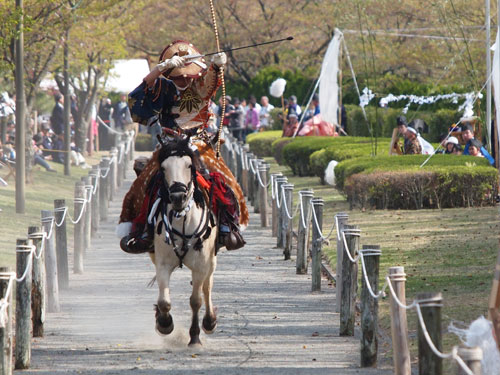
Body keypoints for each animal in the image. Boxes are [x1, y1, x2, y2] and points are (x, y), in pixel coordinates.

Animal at [152, 137, 219, 348]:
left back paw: (209, 321)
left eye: (189, 165)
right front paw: (164, 323)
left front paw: (195, 336)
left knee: (207, 286)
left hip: (211, 261)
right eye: (163, 167)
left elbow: (196, 300)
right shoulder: (162, 262)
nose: (178, 197)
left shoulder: (200, 265)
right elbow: (164, 301)